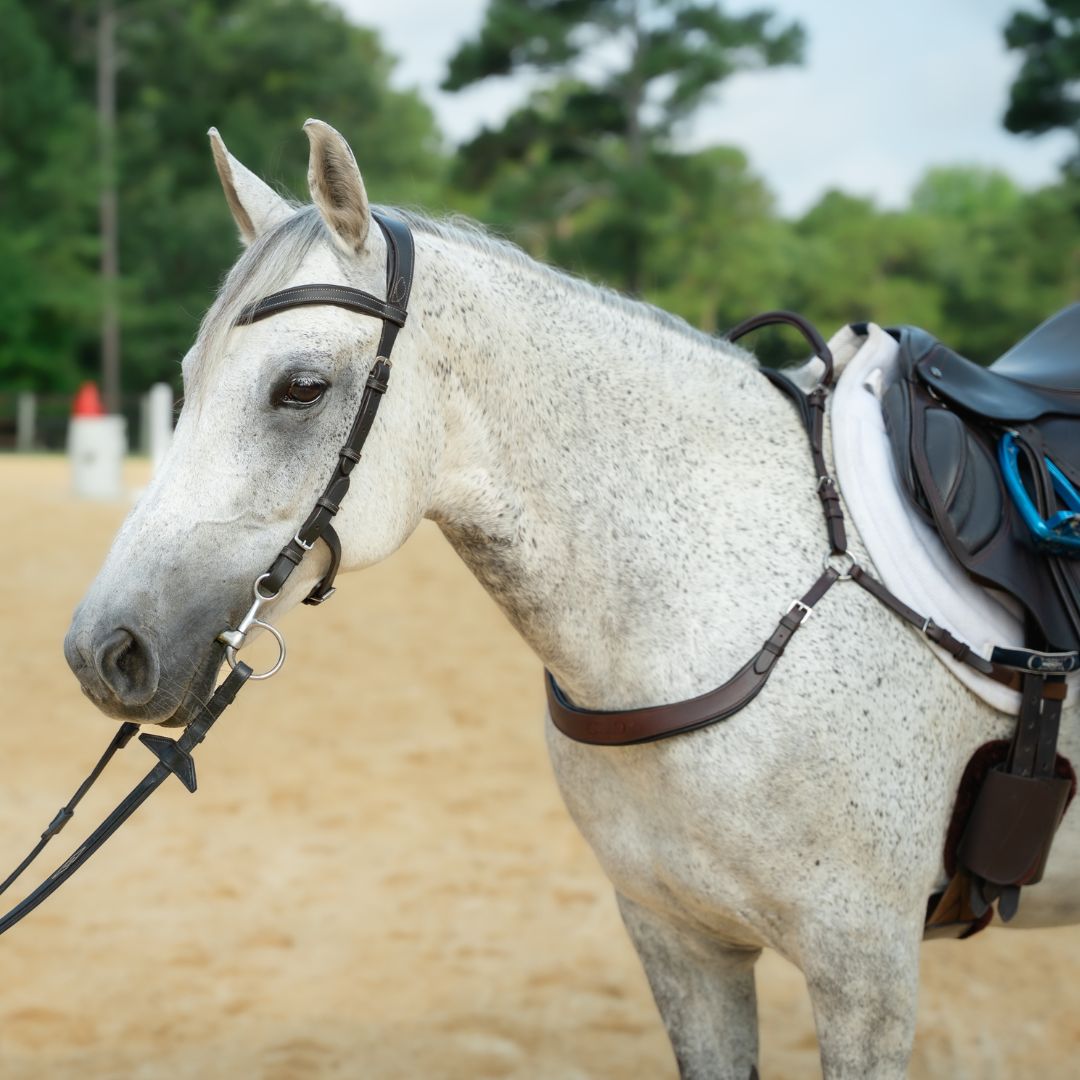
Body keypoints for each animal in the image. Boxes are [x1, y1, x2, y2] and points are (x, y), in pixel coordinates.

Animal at [63, 119, 1080, 1079]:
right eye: (186, 382)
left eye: (301, 387)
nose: (104, 651)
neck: (717, 606)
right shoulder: (681, 942)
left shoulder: (866, 970)